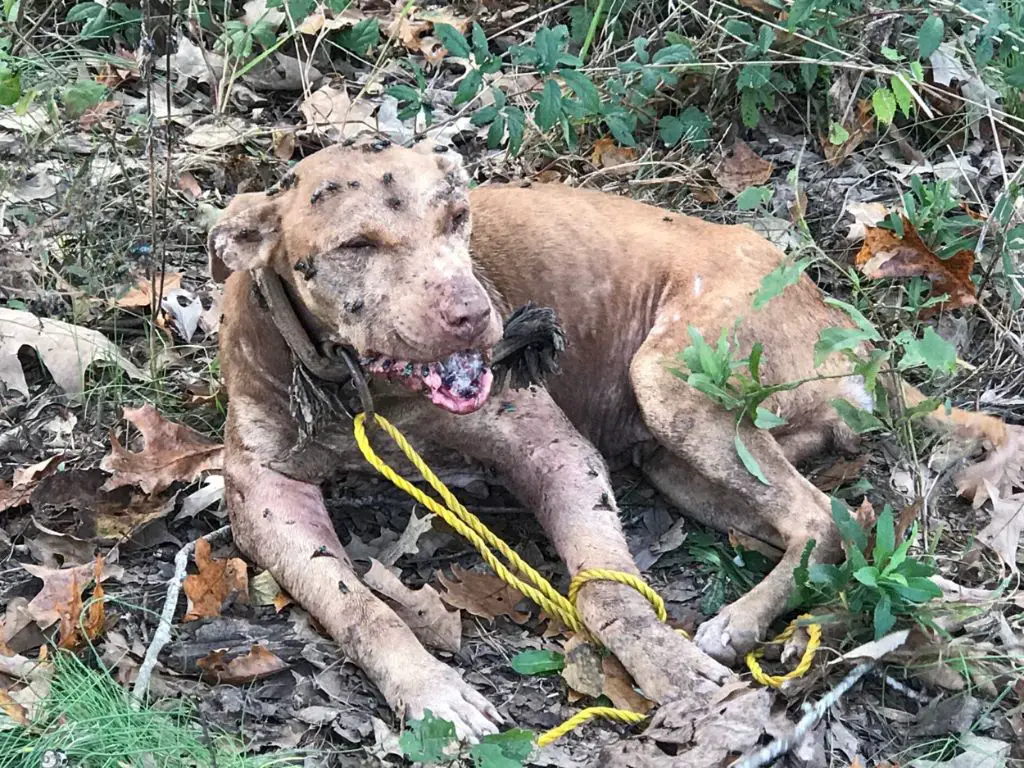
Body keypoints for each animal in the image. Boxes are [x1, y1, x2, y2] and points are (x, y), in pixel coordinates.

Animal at [207, 141, 1007, 741]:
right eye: (357, 244)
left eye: (458, 218)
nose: (477, 314)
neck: (358, 390)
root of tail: (851, 329)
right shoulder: (264, 495)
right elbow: (358, 605)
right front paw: (430, 689)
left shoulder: (555, 451)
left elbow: (606, 592)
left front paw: (664, 663)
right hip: (680, 461)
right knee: (836, 528)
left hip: (671, 384)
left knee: (816, 515)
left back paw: (740, 624)